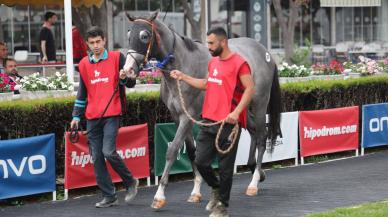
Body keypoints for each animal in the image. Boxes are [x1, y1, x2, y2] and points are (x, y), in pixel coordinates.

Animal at [123, 11, 280, 210]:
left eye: (144, 36)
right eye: (129, 35)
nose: (128, 71)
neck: (183, 63)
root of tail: (265, 52)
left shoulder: (187, 117)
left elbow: (173, 150)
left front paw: (159, 195)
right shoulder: (178, 117)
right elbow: (192, 152)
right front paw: (196, 191)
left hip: (259, 104)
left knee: (261, 136)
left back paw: (253, 182)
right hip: (241, 109)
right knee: (254, 132)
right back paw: (257, 171)